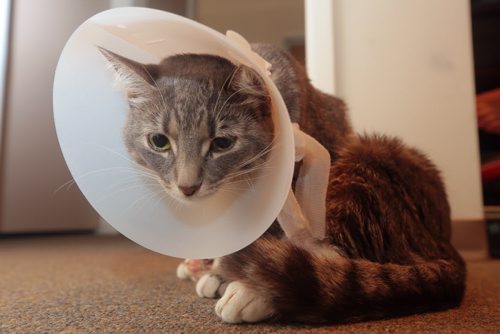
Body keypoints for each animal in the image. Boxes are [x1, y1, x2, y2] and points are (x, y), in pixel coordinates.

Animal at [99, 43, 466, 324]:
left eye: (222, 143)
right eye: (159, 141)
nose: (187, 187)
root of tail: (446, 243)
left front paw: (240, 281)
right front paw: (217, 268)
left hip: (370, 159)